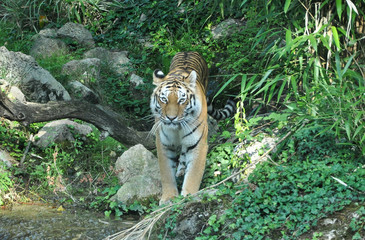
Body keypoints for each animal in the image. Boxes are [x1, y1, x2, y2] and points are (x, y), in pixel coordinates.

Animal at [149, 51, 235, 203]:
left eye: (181, 100)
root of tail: (187, 51)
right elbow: (166, 172)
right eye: (164, 99)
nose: (171, 118)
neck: (177, 129)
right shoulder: (164, 144)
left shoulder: (198, 144)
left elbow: (194, 174)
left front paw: (189, 196)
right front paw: (168, 197)